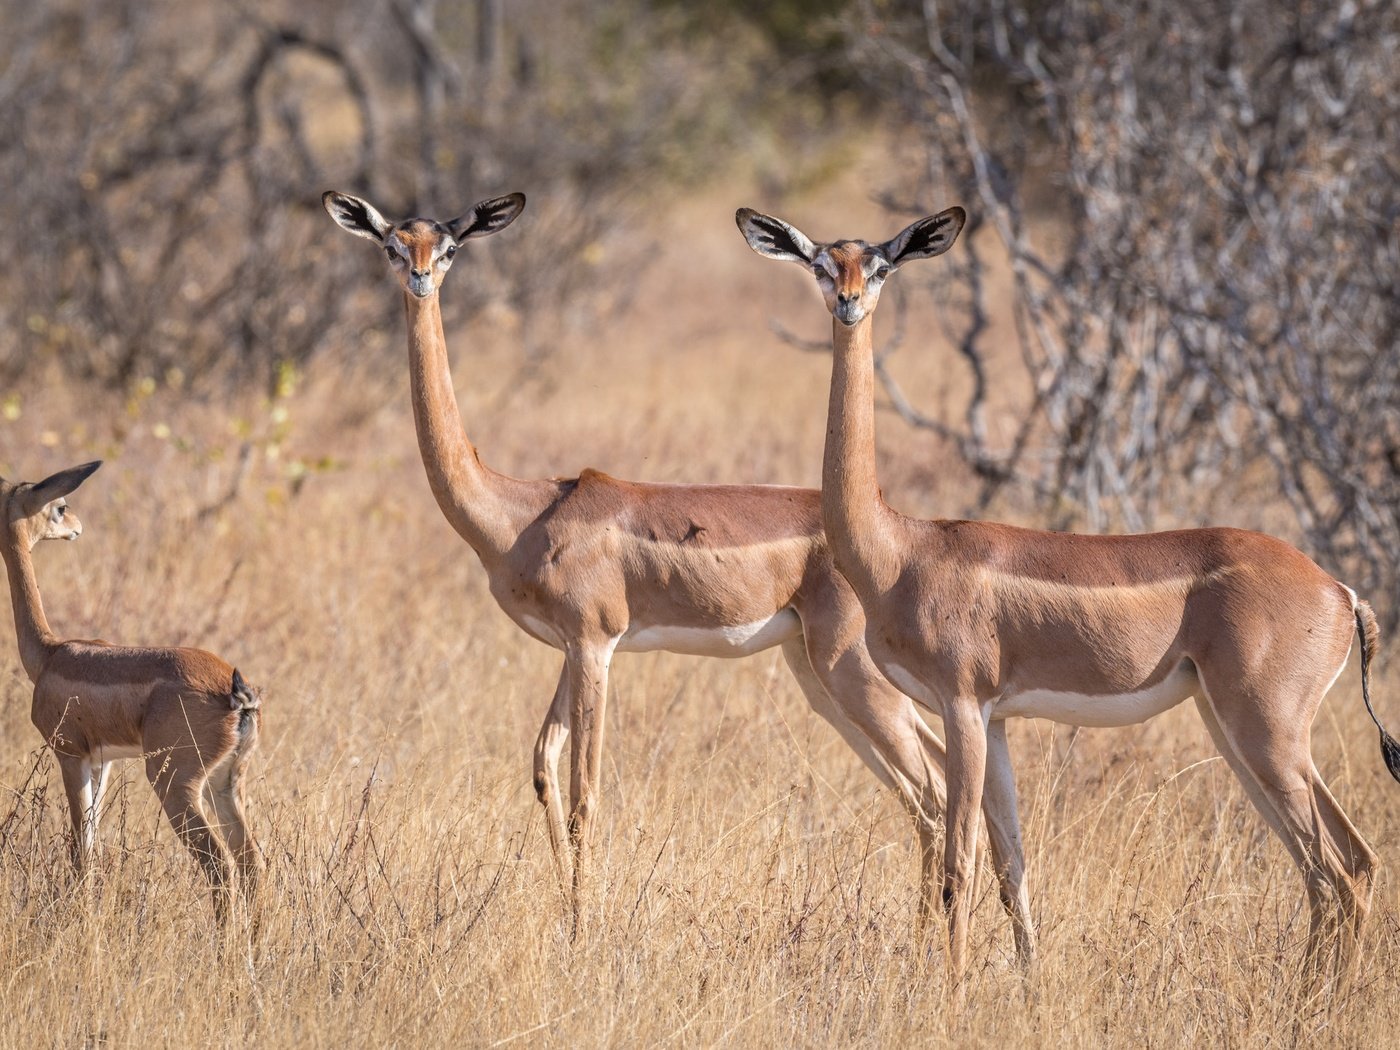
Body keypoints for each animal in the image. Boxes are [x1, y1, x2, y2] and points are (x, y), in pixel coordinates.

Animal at [0, 459, 263, 929]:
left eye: (60, 504)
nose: (77, 528)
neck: (49, 653)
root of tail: (237, 694)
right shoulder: (102, 761)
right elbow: (91, 842)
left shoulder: (70, 755)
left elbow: (81, 848)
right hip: (225, 783)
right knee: (252, 861)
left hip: (175, 784)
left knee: (219, 864)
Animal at [320, 191, 1041, 963]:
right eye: (394, 244)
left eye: (449, 248)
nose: (420, 279)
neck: (518, 511)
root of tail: (900, 539)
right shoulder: (570, 651)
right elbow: (543, 766)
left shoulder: (594, 645)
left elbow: (584, 795)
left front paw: (580, 934)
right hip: (818, 676)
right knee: (932, 789)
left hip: (852, 672)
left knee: (932, 790)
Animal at [739, 205, 1400, 996]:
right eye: (819, 263)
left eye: (881, 265)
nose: (846, 303)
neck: (898, 550)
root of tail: (1340, 591)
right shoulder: (995, 720)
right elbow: (1011, 865)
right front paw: (1027, 986)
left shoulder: (962, 706)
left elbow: (960, 866)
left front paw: (951, 998)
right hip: (1233, 727)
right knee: (1330, 868)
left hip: (1267, 731)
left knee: (1346, 868)